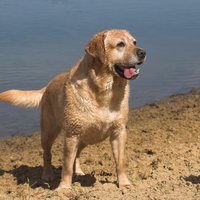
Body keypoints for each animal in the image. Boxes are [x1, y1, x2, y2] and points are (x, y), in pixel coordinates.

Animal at [0, 29, 146, 189]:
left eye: (134, 42)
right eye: (120, 44)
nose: (143, 52)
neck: (105, 91)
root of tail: (48, 85)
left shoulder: (119, 132)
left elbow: (120, 162)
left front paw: (124, 183)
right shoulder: (72, 135)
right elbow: (67, 165)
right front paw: (64, 188)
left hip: (85, 138)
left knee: (77, 155)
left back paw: (79, 172)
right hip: (49, 132)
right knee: (47, 154)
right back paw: (47, 174)